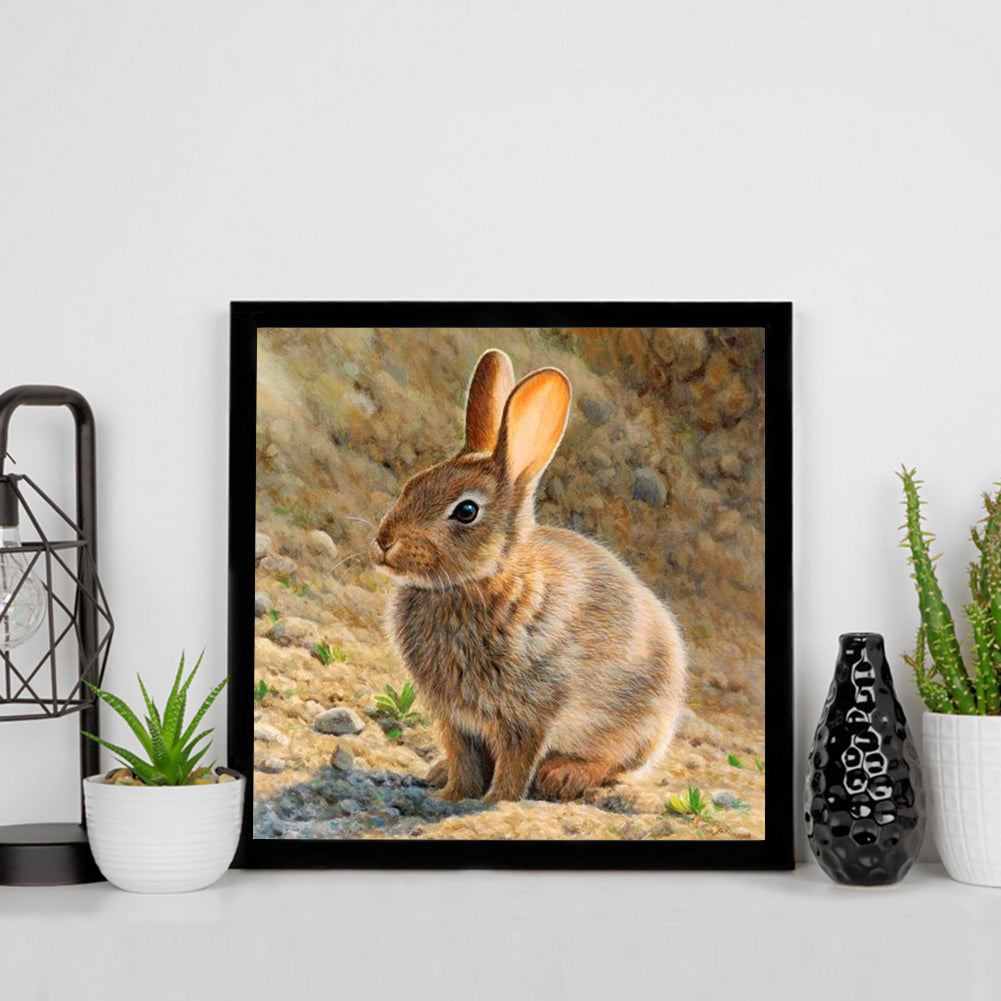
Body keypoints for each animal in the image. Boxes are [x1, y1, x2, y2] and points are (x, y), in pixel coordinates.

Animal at [372, 348, 686, 804]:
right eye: (412, 483)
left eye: (466, 511)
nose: (384, 542)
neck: (482, 581)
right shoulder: (454, 718)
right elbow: (463, 758)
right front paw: (450, 794)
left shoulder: (531, 712)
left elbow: (517, 762)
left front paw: (496, 801)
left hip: (636, 726)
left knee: (613, 765)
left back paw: (564, 776)